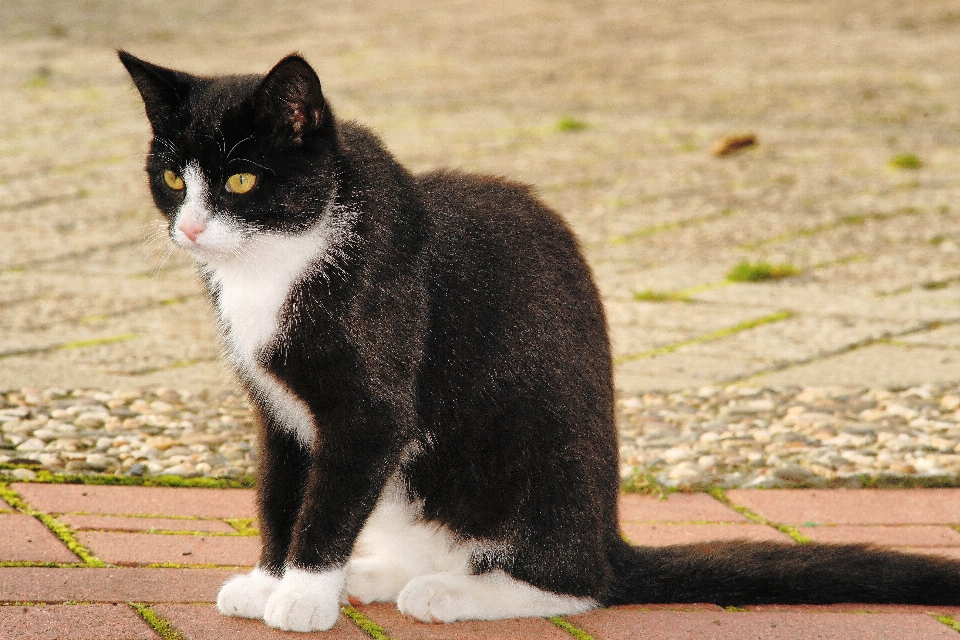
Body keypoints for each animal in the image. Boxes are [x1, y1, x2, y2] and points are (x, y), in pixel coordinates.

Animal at [120, 50, 960, 632]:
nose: (189, 228)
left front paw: (300, 596)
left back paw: (451, 591)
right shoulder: (278, 410)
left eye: (240, 182)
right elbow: (280, 493)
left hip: (528, 462)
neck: (281, 260)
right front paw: (270, 580)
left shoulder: (370, 408)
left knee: (578, 583)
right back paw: (386, 573)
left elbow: (327, 502)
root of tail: (609, 535)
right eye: (172, 180)